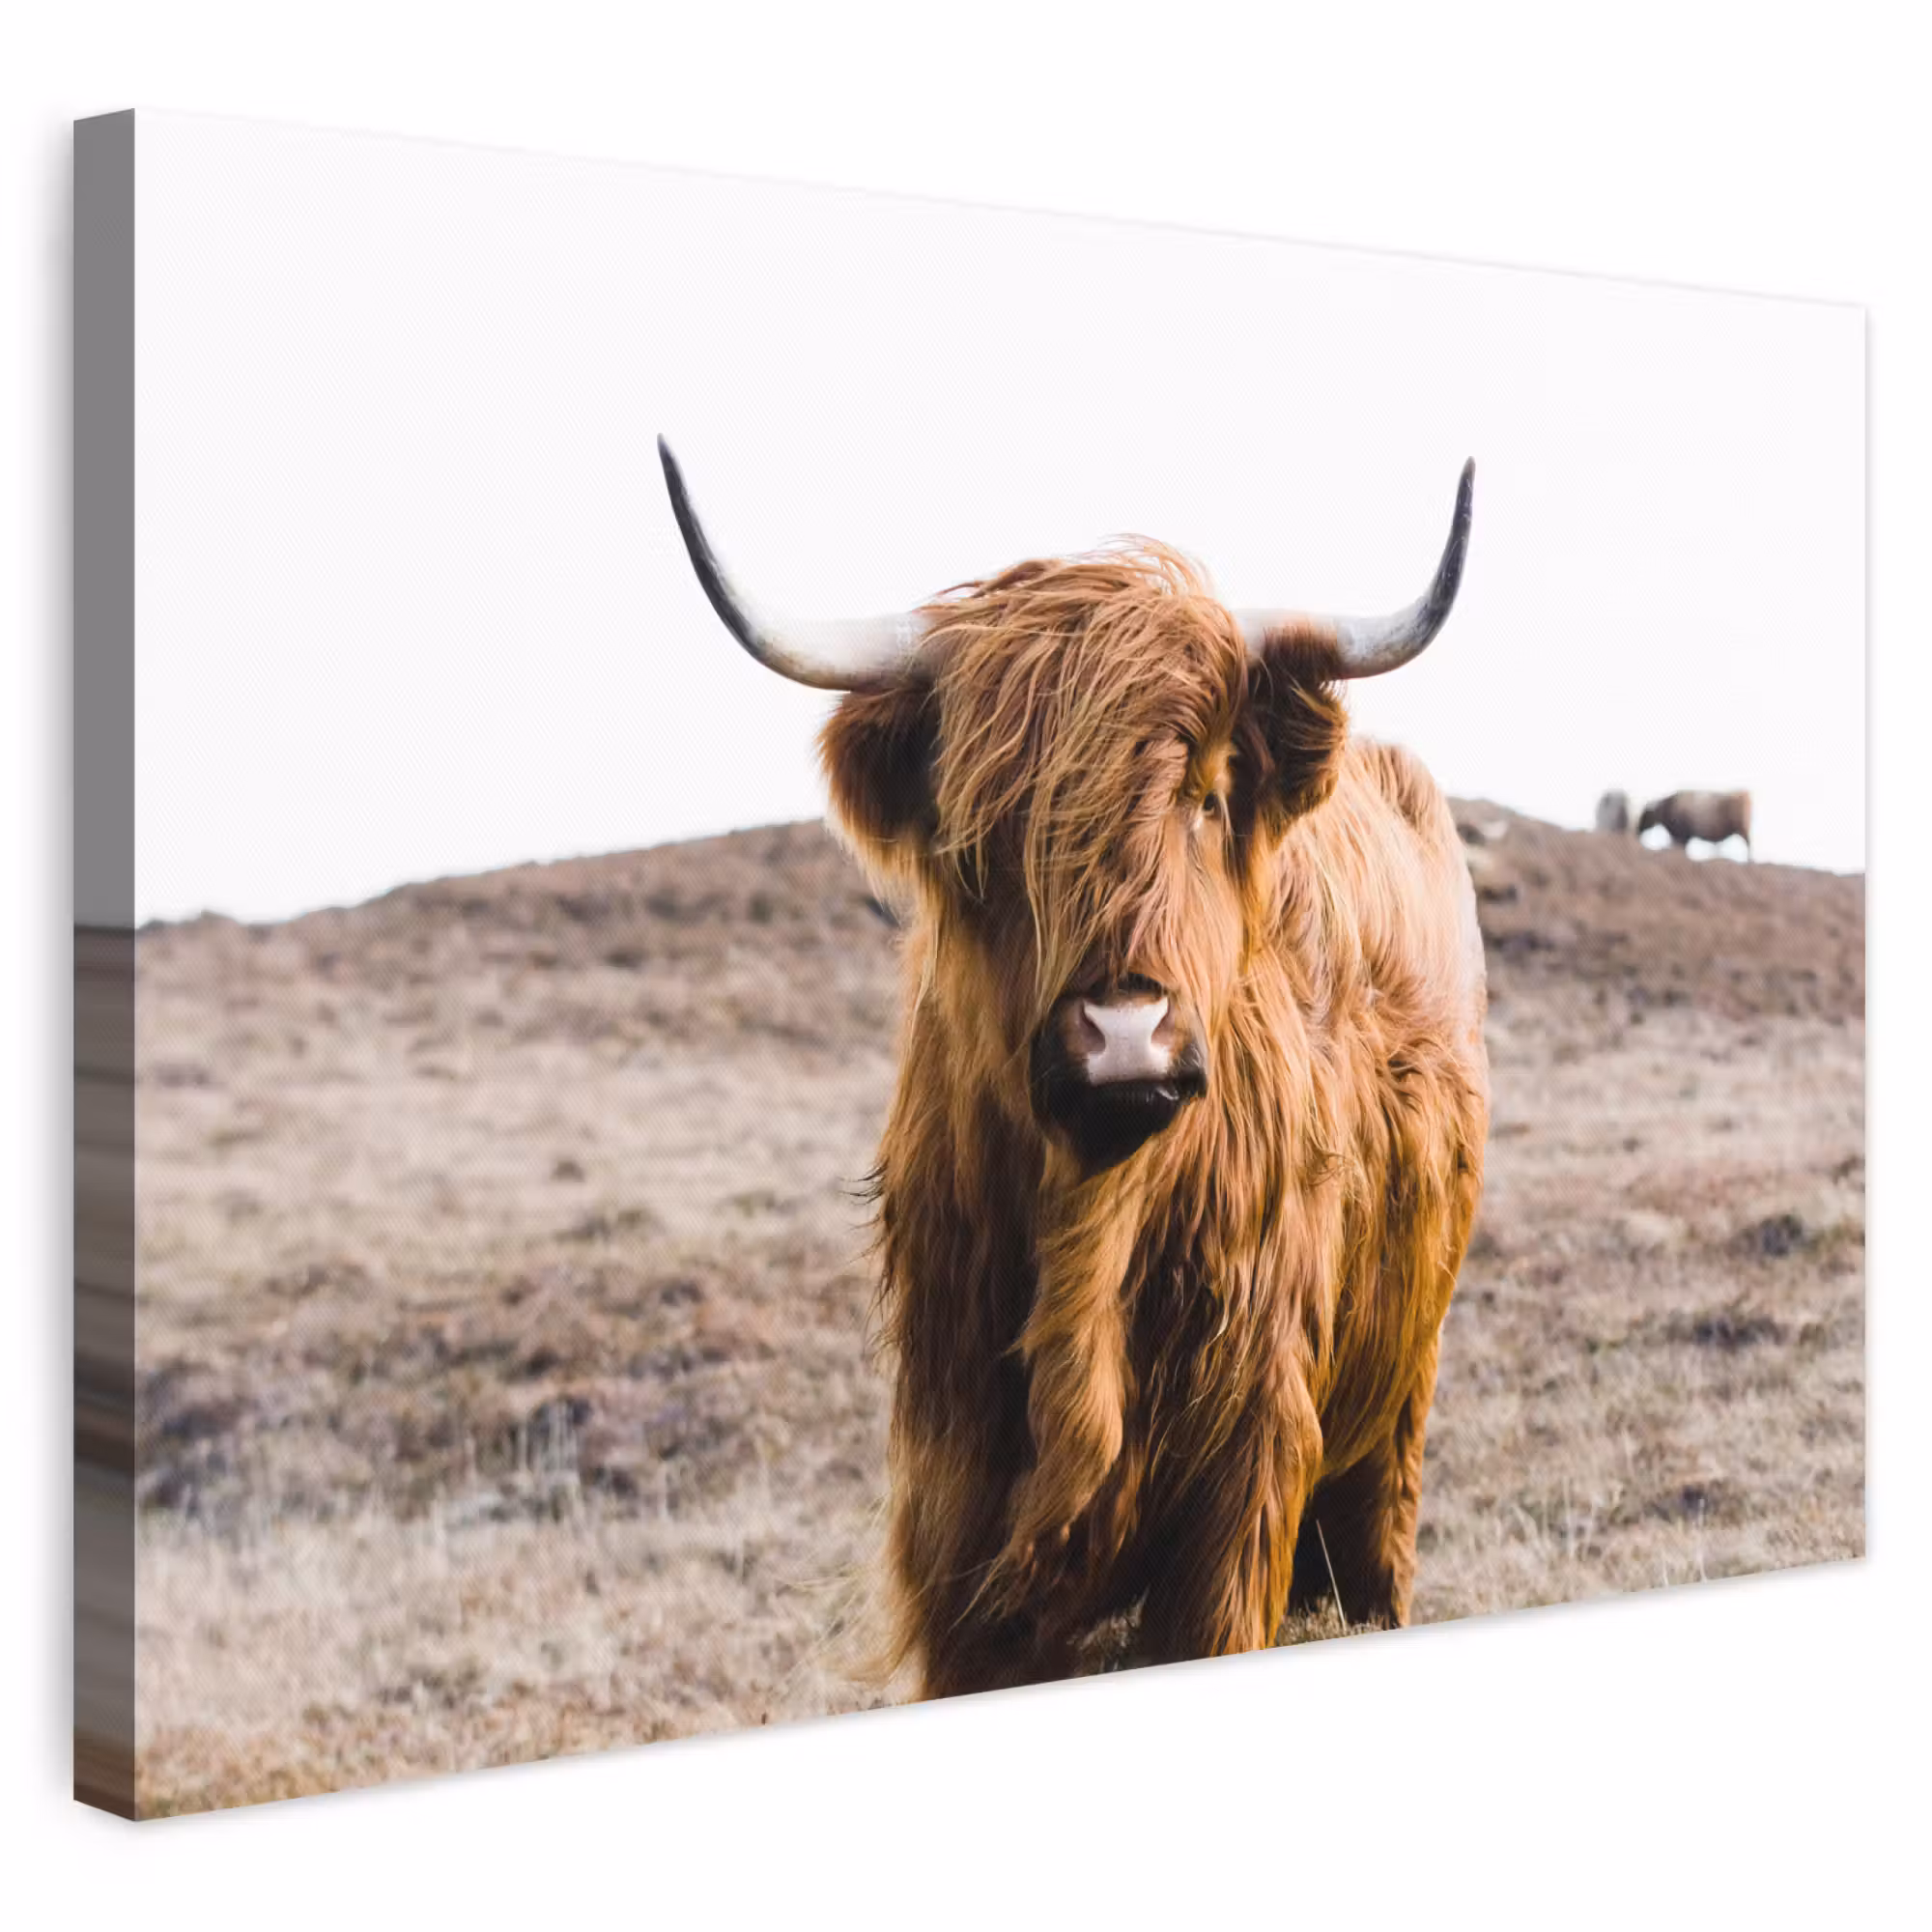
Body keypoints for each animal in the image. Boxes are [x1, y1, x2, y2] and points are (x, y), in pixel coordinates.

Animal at [659, 441, 1490, 1696]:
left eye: (1205, 795)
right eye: (987, 829)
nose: (1123, 1031)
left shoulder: (1241, 1482)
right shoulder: (955, 1498)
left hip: (1395, 1401)